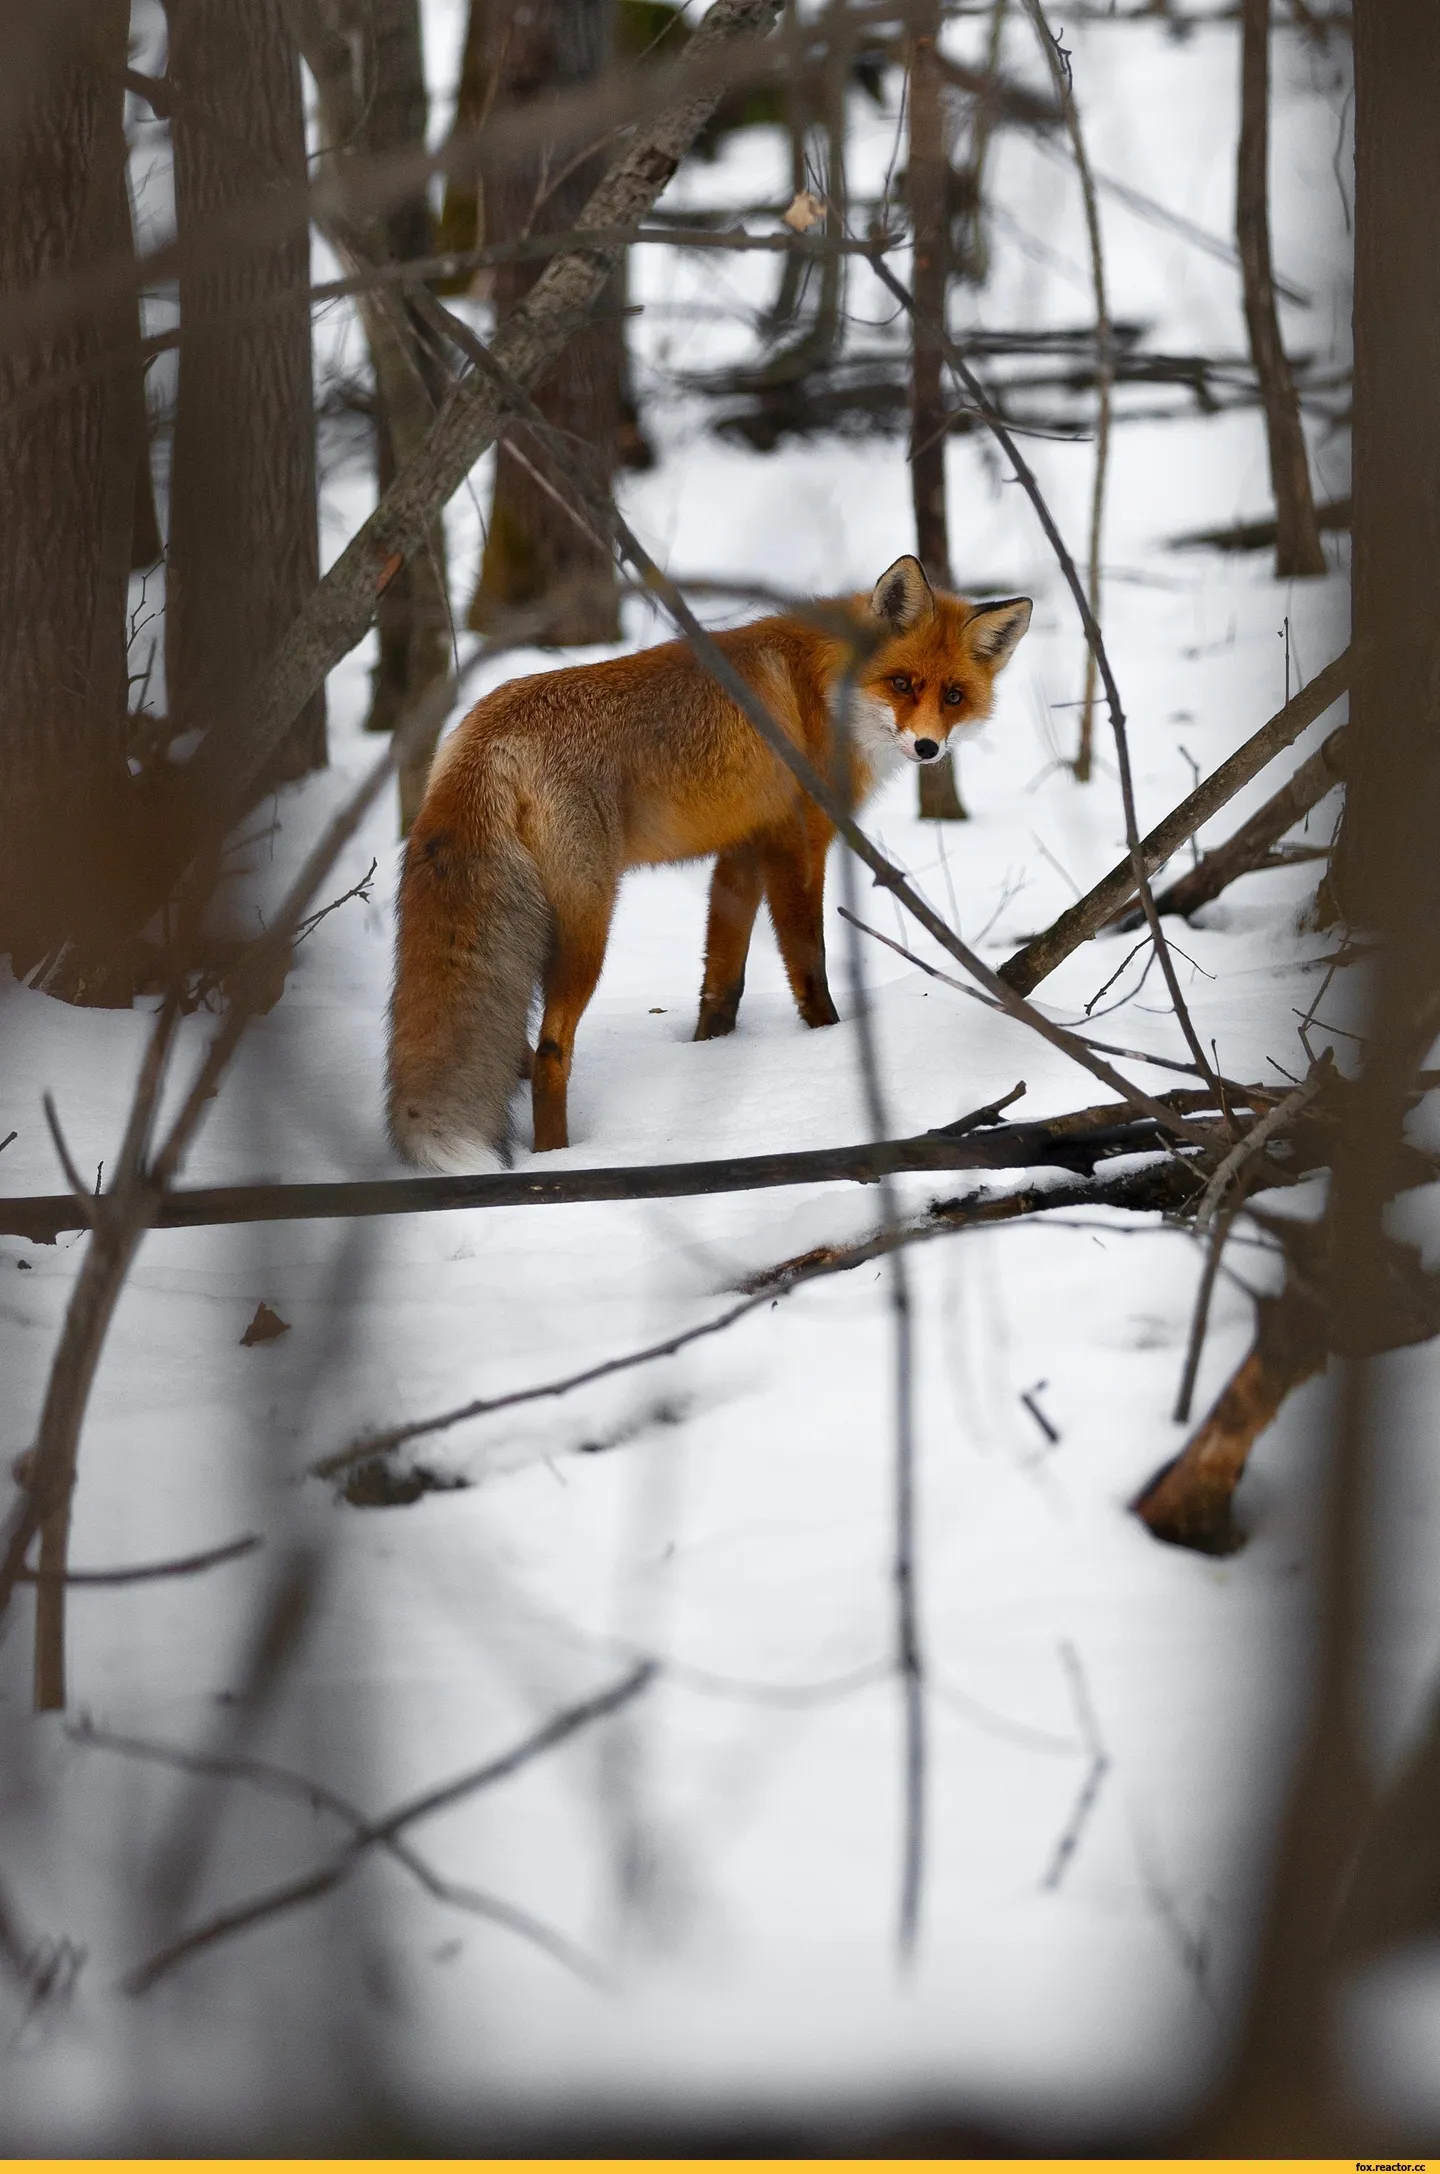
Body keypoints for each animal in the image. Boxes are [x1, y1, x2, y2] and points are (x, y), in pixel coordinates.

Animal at [389, 560, 1031, 1173]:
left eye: (953, 696)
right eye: (901, 683)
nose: (928, 748)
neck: (824, 690)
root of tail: (486, 735)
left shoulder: (741, 851)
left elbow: (723, 986)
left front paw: (709, 1057)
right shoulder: (797, 843)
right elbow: (810, 968)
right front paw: (827, 1042)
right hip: (588, 923)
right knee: (552, 1051)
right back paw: (558, 1160)